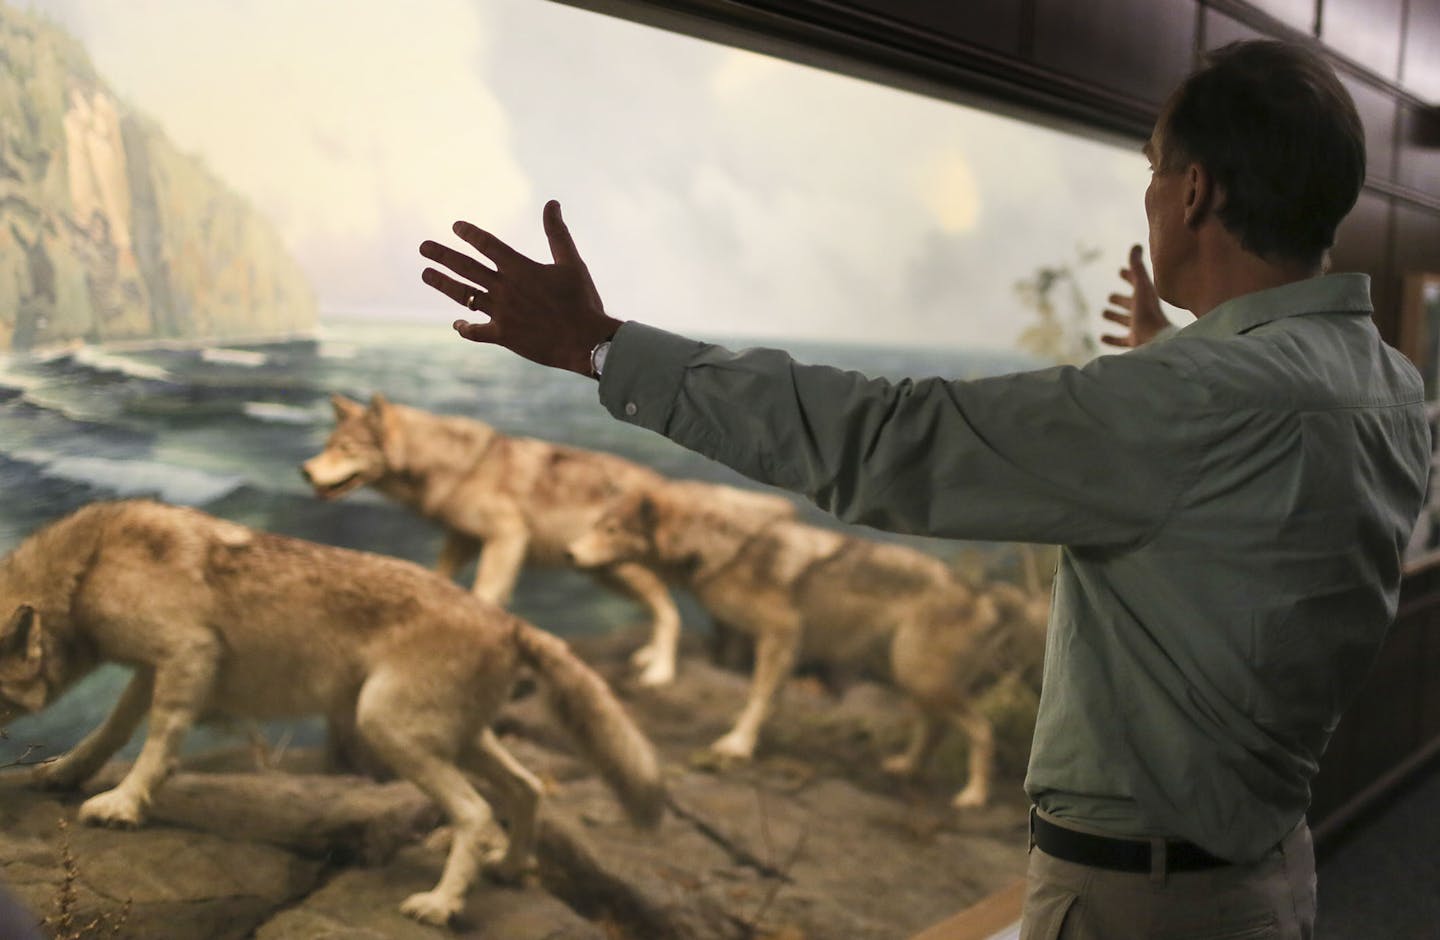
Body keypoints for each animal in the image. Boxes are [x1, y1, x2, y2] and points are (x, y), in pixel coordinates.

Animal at [0, 500, 662, 927]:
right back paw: (508, 867)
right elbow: (111, 731)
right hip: (454, 739)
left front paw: (122, 807)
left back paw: (439, 906)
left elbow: (159, 743)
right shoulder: (152, 669)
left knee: (476, 814)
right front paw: (64, 774)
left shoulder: (188, 653)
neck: (89, 564)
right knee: (525, 788)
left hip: (390, 730)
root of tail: (510, 621)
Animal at [302, 391, 714, 685]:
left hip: (619, 573)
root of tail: (659, 486)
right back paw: (648, 657)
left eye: (346, 449)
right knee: (662, 607)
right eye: (328, 444)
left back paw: (659, 672)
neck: (461, 467)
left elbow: (485, 593)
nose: (305, 471)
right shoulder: (462, 539)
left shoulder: (507, 537)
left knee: (669, 610)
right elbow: (441, 578)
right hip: (604, 574)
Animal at [567, 480, 1054, 811]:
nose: (570, 554)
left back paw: (973, 795)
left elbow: (758, 698)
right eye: (595, 525)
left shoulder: (781, 635)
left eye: (611, 529)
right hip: (909, 678)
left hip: (922, 680)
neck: (725, 548)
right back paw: (906, 767)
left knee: (982, 730)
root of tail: (984, 595)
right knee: (935, 728)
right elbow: (766, 697)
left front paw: (738, 745)